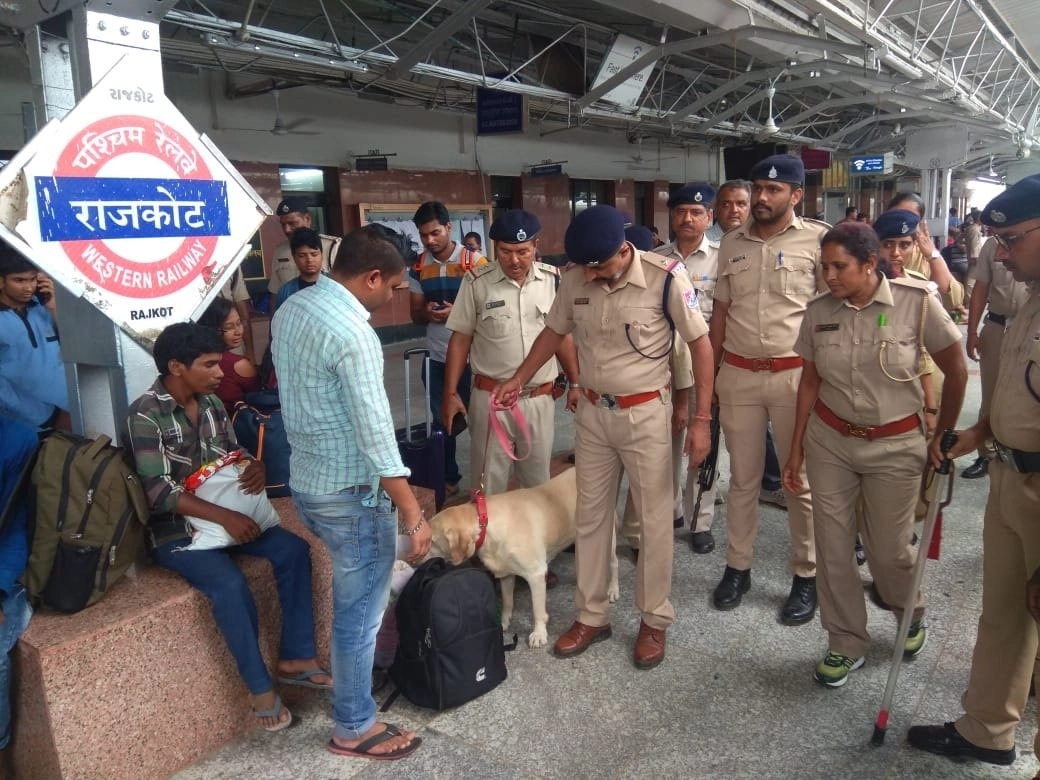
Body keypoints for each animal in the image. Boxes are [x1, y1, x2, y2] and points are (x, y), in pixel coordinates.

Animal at [428, 467, 615, 648]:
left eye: (432, 541)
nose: (419, 555)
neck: (486, 523)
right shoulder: (505, 573)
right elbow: (507, 602)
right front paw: (503, 622)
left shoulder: (536, 575)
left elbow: (537, 610)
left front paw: (539, 634)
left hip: (608, 539)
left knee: (614, 564)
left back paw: (613, 590)